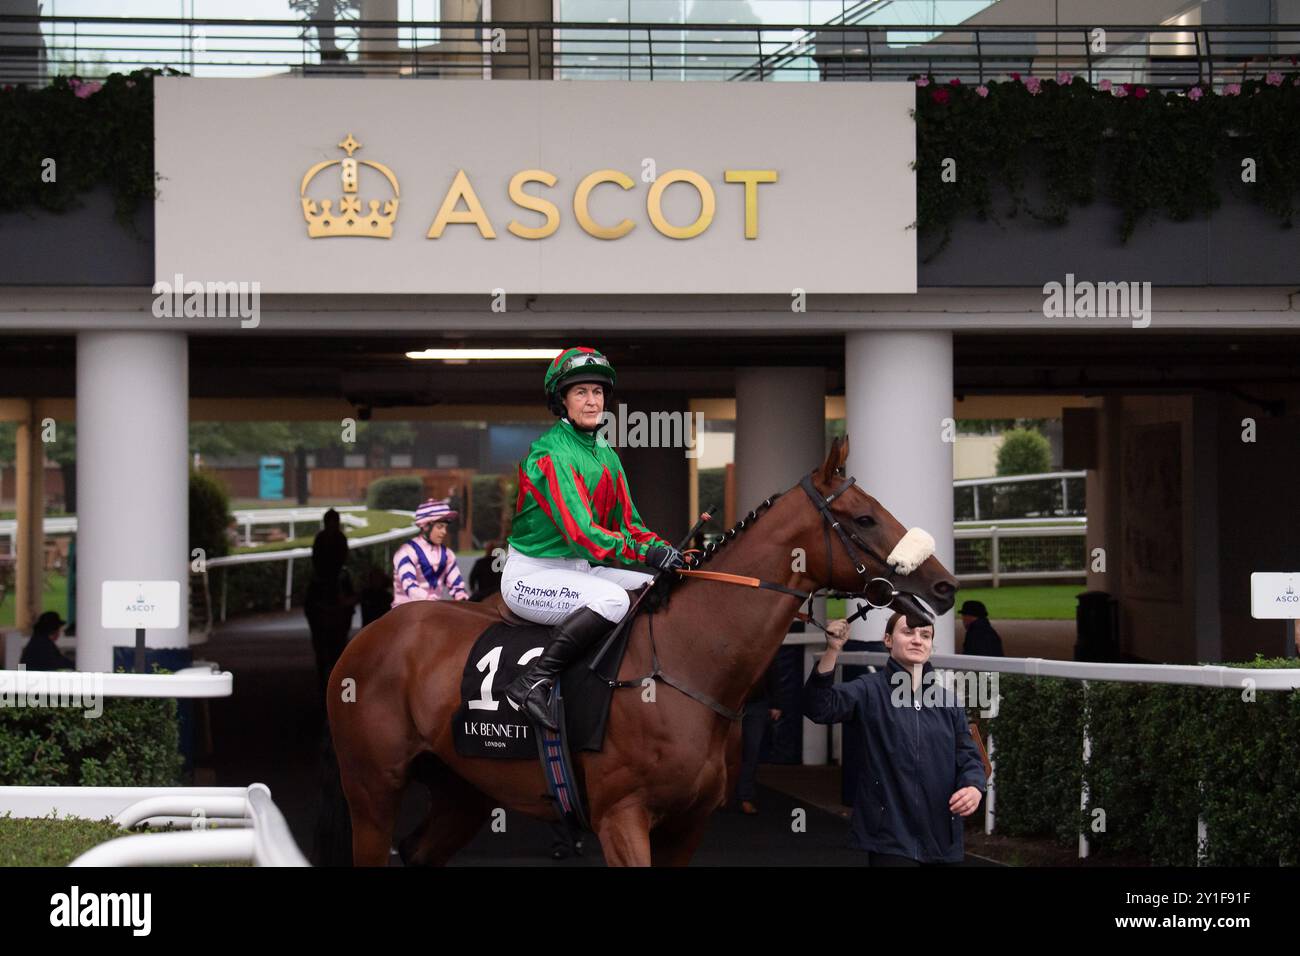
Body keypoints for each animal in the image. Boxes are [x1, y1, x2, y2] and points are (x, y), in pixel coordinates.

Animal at [325, 437, 956, 868]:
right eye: (865, 517)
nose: (944, 585)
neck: (685, 663)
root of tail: (368, 639)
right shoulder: (621, 817)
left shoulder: (687, 826)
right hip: (372, 790)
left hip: (462, 791)